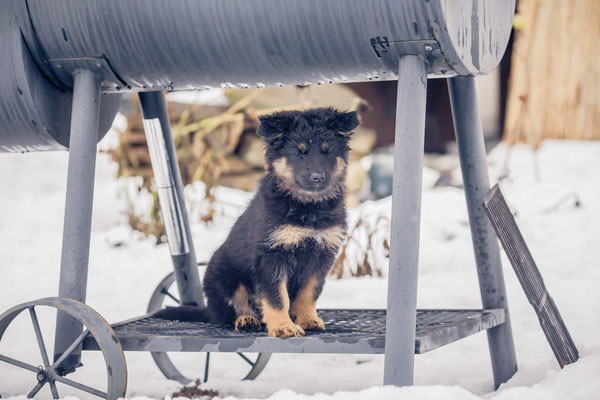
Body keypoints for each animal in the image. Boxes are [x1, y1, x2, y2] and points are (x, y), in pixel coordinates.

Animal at [157, 107, 358, 338]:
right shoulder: (271, 255)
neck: (308, 207)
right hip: (223, 276)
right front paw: (283, 326)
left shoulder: (322, 255)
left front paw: (308, 319)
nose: (318, 177)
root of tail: (209, 310)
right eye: (299, 153)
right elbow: (277, 297)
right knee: (230, 311)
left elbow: (309, 292)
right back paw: (246, 320)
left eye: (327, 151)